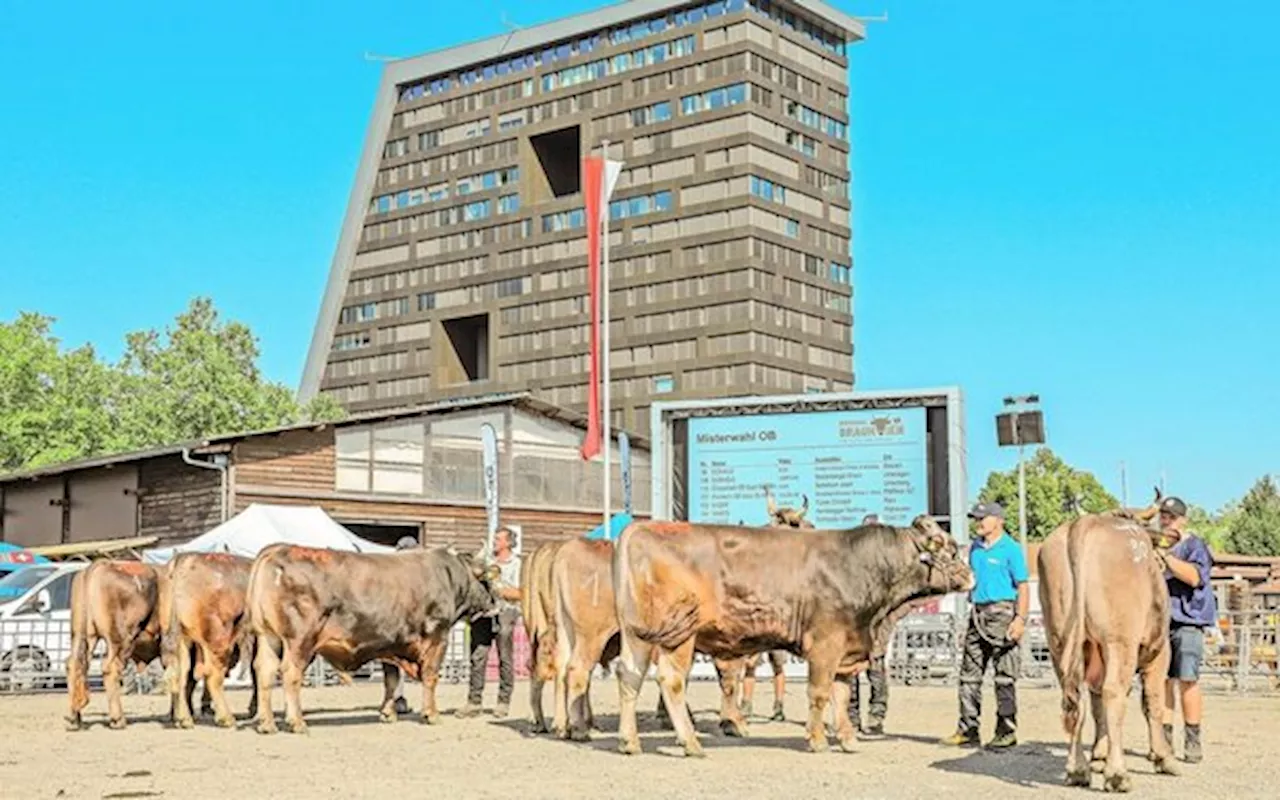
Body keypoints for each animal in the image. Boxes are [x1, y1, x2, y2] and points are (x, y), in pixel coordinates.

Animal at [67, 558, 163, 727]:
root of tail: (99, 565)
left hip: (83, 635)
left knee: (75, 664)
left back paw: (74, 718)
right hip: (121, 640)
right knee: (111, 668)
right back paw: (118, 719)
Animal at [158, 552, 256, 727]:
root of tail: (185, 558)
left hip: (181, 638)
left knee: (181, 673)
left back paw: (184, 719)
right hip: (218, 638)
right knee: (212, 675)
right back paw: (226, 718)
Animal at [245, 540, 499, 732]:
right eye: (485, 581)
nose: (494, 604)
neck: (447, 575)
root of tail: (277, 549)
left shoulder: (391, 643)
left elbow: (391, 680)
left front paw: (388, 713)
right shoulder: (437, 637)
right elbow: (430, 676)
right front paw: (431, 714)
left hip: (268, 636)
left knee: (265, 671)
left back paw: (267, 724)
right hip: (299, 640)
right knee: (290, 673)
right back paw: (297, 721)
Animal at [609, 514, 967, 752]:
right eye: (948, 549)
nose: (970, 576)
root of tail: (642, 528)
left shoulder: (847, 650)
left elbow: (841, 694)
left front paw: (848, 739)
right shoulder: (826, 643)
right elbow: (820, 693)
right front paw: (818, 739)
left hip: (639, 636)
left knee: (629, 676)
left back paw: (630, 741)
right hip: (679, 634)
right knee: (671, 680)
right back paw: (691, 742)